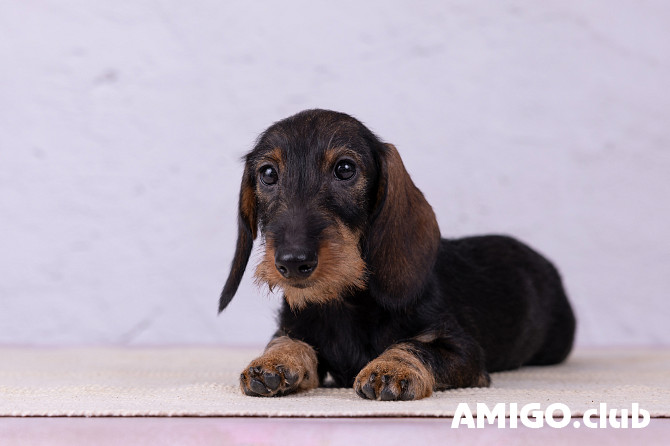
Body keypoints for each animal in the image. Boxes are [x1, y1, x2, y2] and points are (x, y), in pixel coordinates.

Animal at [220, 109, 576, 400]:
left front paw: (392, 367)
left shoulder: (464, 351)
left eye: (345, 168)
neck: (344, 302)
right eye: (268, 173)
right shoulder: (295, 328)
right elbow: (289, 341)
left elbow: (416, 346)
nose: (293, 262)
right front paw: (274, 361)